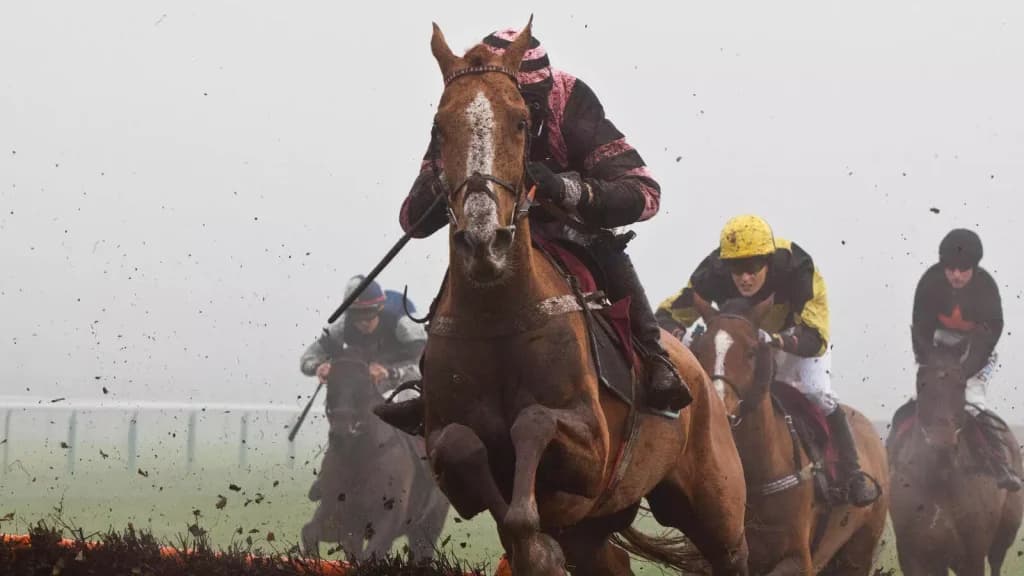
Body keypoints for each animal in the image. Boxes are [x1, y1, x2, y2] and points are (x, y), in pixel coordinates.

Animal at [301, 351, 450, 561]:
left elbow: (370, 556)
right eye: (330, 386)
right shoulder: (338, 517)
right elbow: (309, 532)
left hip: (428, 526)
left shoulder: (387, 522)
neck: (359, 458)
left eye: (364, 388)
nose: (341, 432)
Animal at [417, 18, 749, 575]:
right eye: (440, 127)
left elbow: (532, 420)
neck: (497, 314)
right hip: (594, 532)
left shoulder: (593, 449)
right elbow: (468, 451)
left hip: (716, 505)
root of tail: (702, 376)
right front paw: (536, 548)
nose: (484, 241)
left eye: (521, 121)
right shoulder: (444, 447)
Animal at [887, 337, 1023, 575]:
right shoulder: (913, 555)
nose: (941, 440)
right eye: (921, 380)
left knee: (997, 560)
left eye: (960, 382)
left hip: (1005, 532)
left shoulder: (972, 556)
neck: (939, 478)